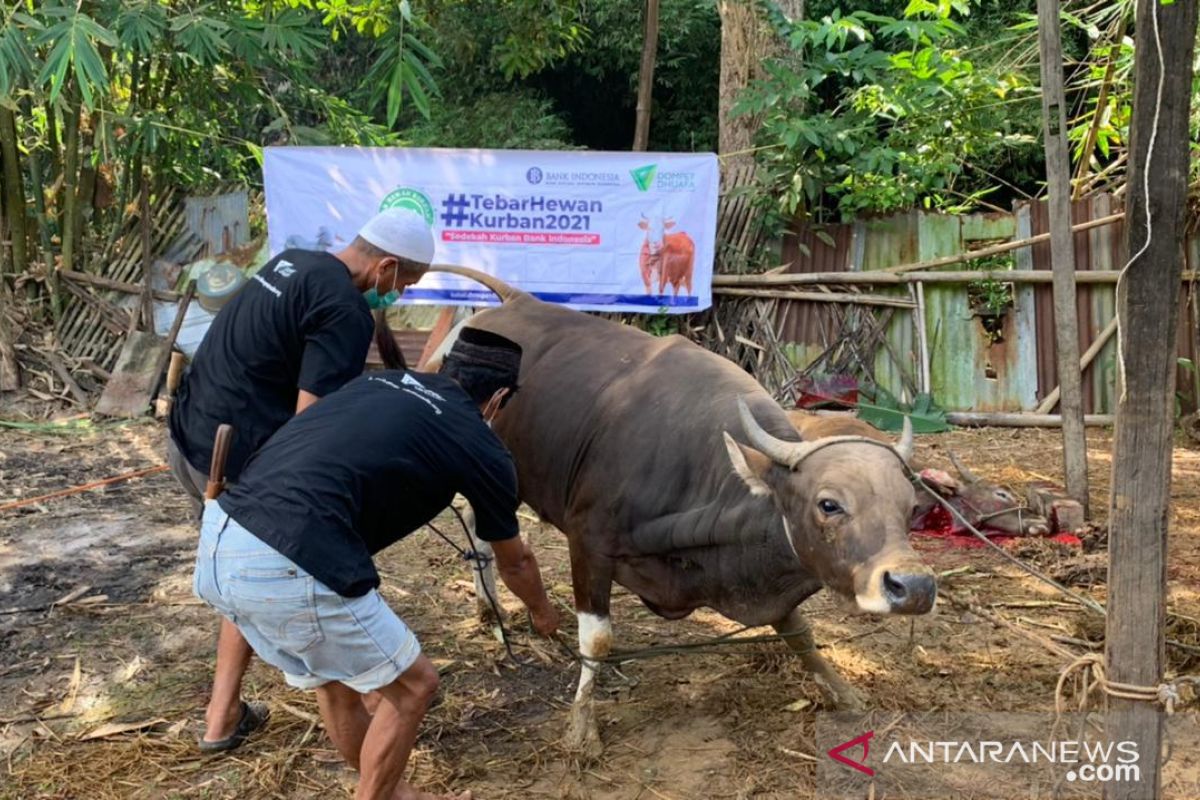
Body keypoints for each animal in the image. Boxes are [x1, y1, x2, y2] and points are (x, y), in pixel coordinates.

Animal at [424, 268, 936, 758]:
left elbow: (800, 633)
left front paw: (846, 695)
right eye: (829, 504)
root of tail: (512, 301)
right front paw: (582, 728)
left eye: (911, 507)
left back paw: (487, 610)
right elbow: (596, 640)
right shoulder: (588, 545)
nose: (914, 586)